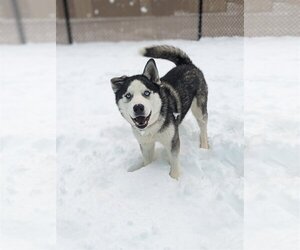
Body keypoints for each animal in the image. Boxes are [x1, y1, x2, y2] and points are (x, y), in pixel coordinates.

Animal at [110, 45, 209, 180]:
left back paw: (204, 146)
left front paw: (174, 179)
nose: (138, 107)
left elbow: (174, 163)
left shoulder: (172, 142)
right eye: (128, 95)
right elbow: (148, 161)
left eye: (146, 93)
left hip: (199, 109)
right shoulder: (145, 144)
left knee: (203, 125)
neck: (152, 127)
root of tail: (187, 64)